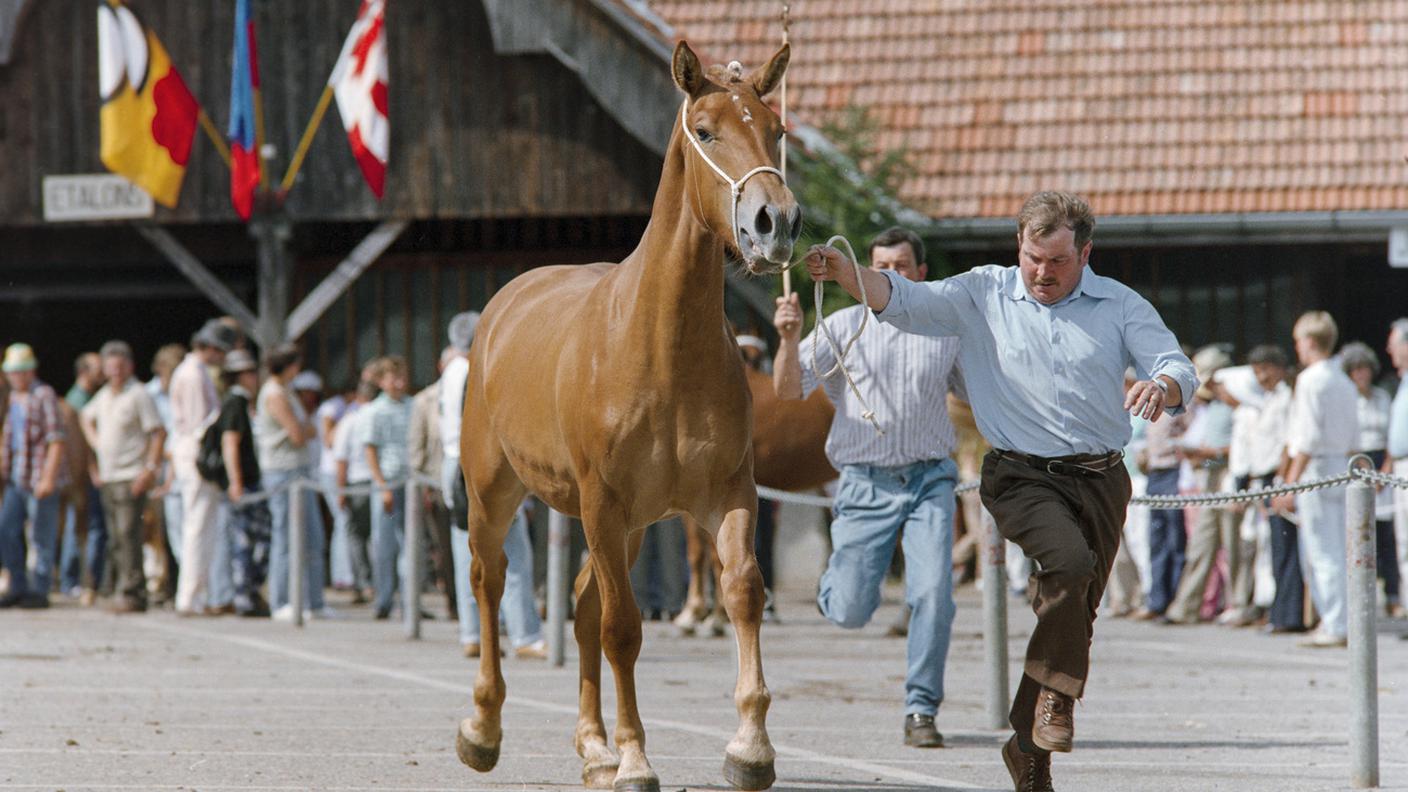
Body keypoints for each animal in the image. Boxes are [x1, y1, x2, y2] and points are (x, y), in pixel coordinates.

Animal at [456, 43, 799, 789]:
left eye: (777, 130)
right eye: (705, 131)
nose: (777, 223)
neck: (661, 346)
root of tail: (503, 304)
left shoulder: (727, 493)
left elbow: (742, 591)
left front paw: (750, 746)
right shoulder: (601, 502)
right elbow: (623, 628)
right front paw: (638, 757)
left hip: (631, 525)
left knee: (583, 604)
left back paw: (593, 747)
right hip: (496, 495)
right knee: (490, 581)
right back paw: (483, 728)